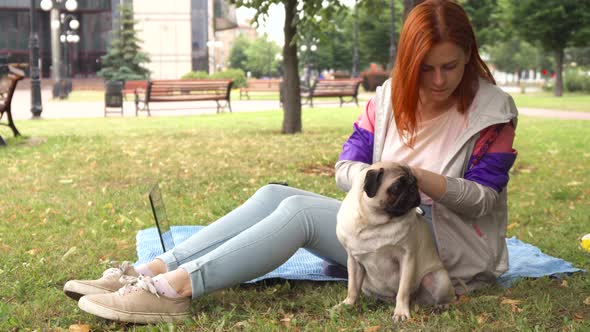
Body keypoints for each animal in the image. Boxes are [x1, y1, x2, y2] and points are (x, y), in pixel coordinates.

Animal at [336, 161, 456, 322]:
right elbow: (353, 288)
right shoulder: (354, 261)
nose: (413, 189)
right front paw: (348, 304)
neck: (375, 223)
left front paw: (401, 313)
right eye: (397, 187)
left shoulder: (407, 258)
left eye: (416, 182)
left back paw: (442, 306)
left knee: (450, 297)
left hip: (439, 279)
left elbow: (403, 291)